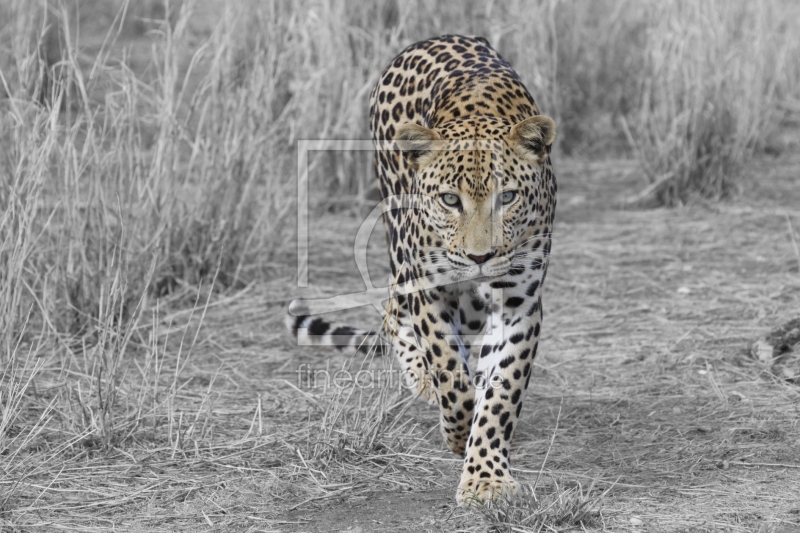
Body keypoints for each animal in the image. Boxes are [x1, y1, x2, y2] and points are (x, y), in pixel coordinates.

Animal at [288, 35, 556, 504]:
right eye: (450, 200)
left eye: (507, 197)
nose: (480, 257)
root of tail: (435, 38)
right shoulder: (429, 289)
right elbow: (450, 372)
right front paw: (458, 430)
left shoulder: (519, 305)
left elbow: (501, 390)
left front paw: (485, 475)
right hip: (400, 242)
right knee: (392, 310)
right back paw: (423, 379)